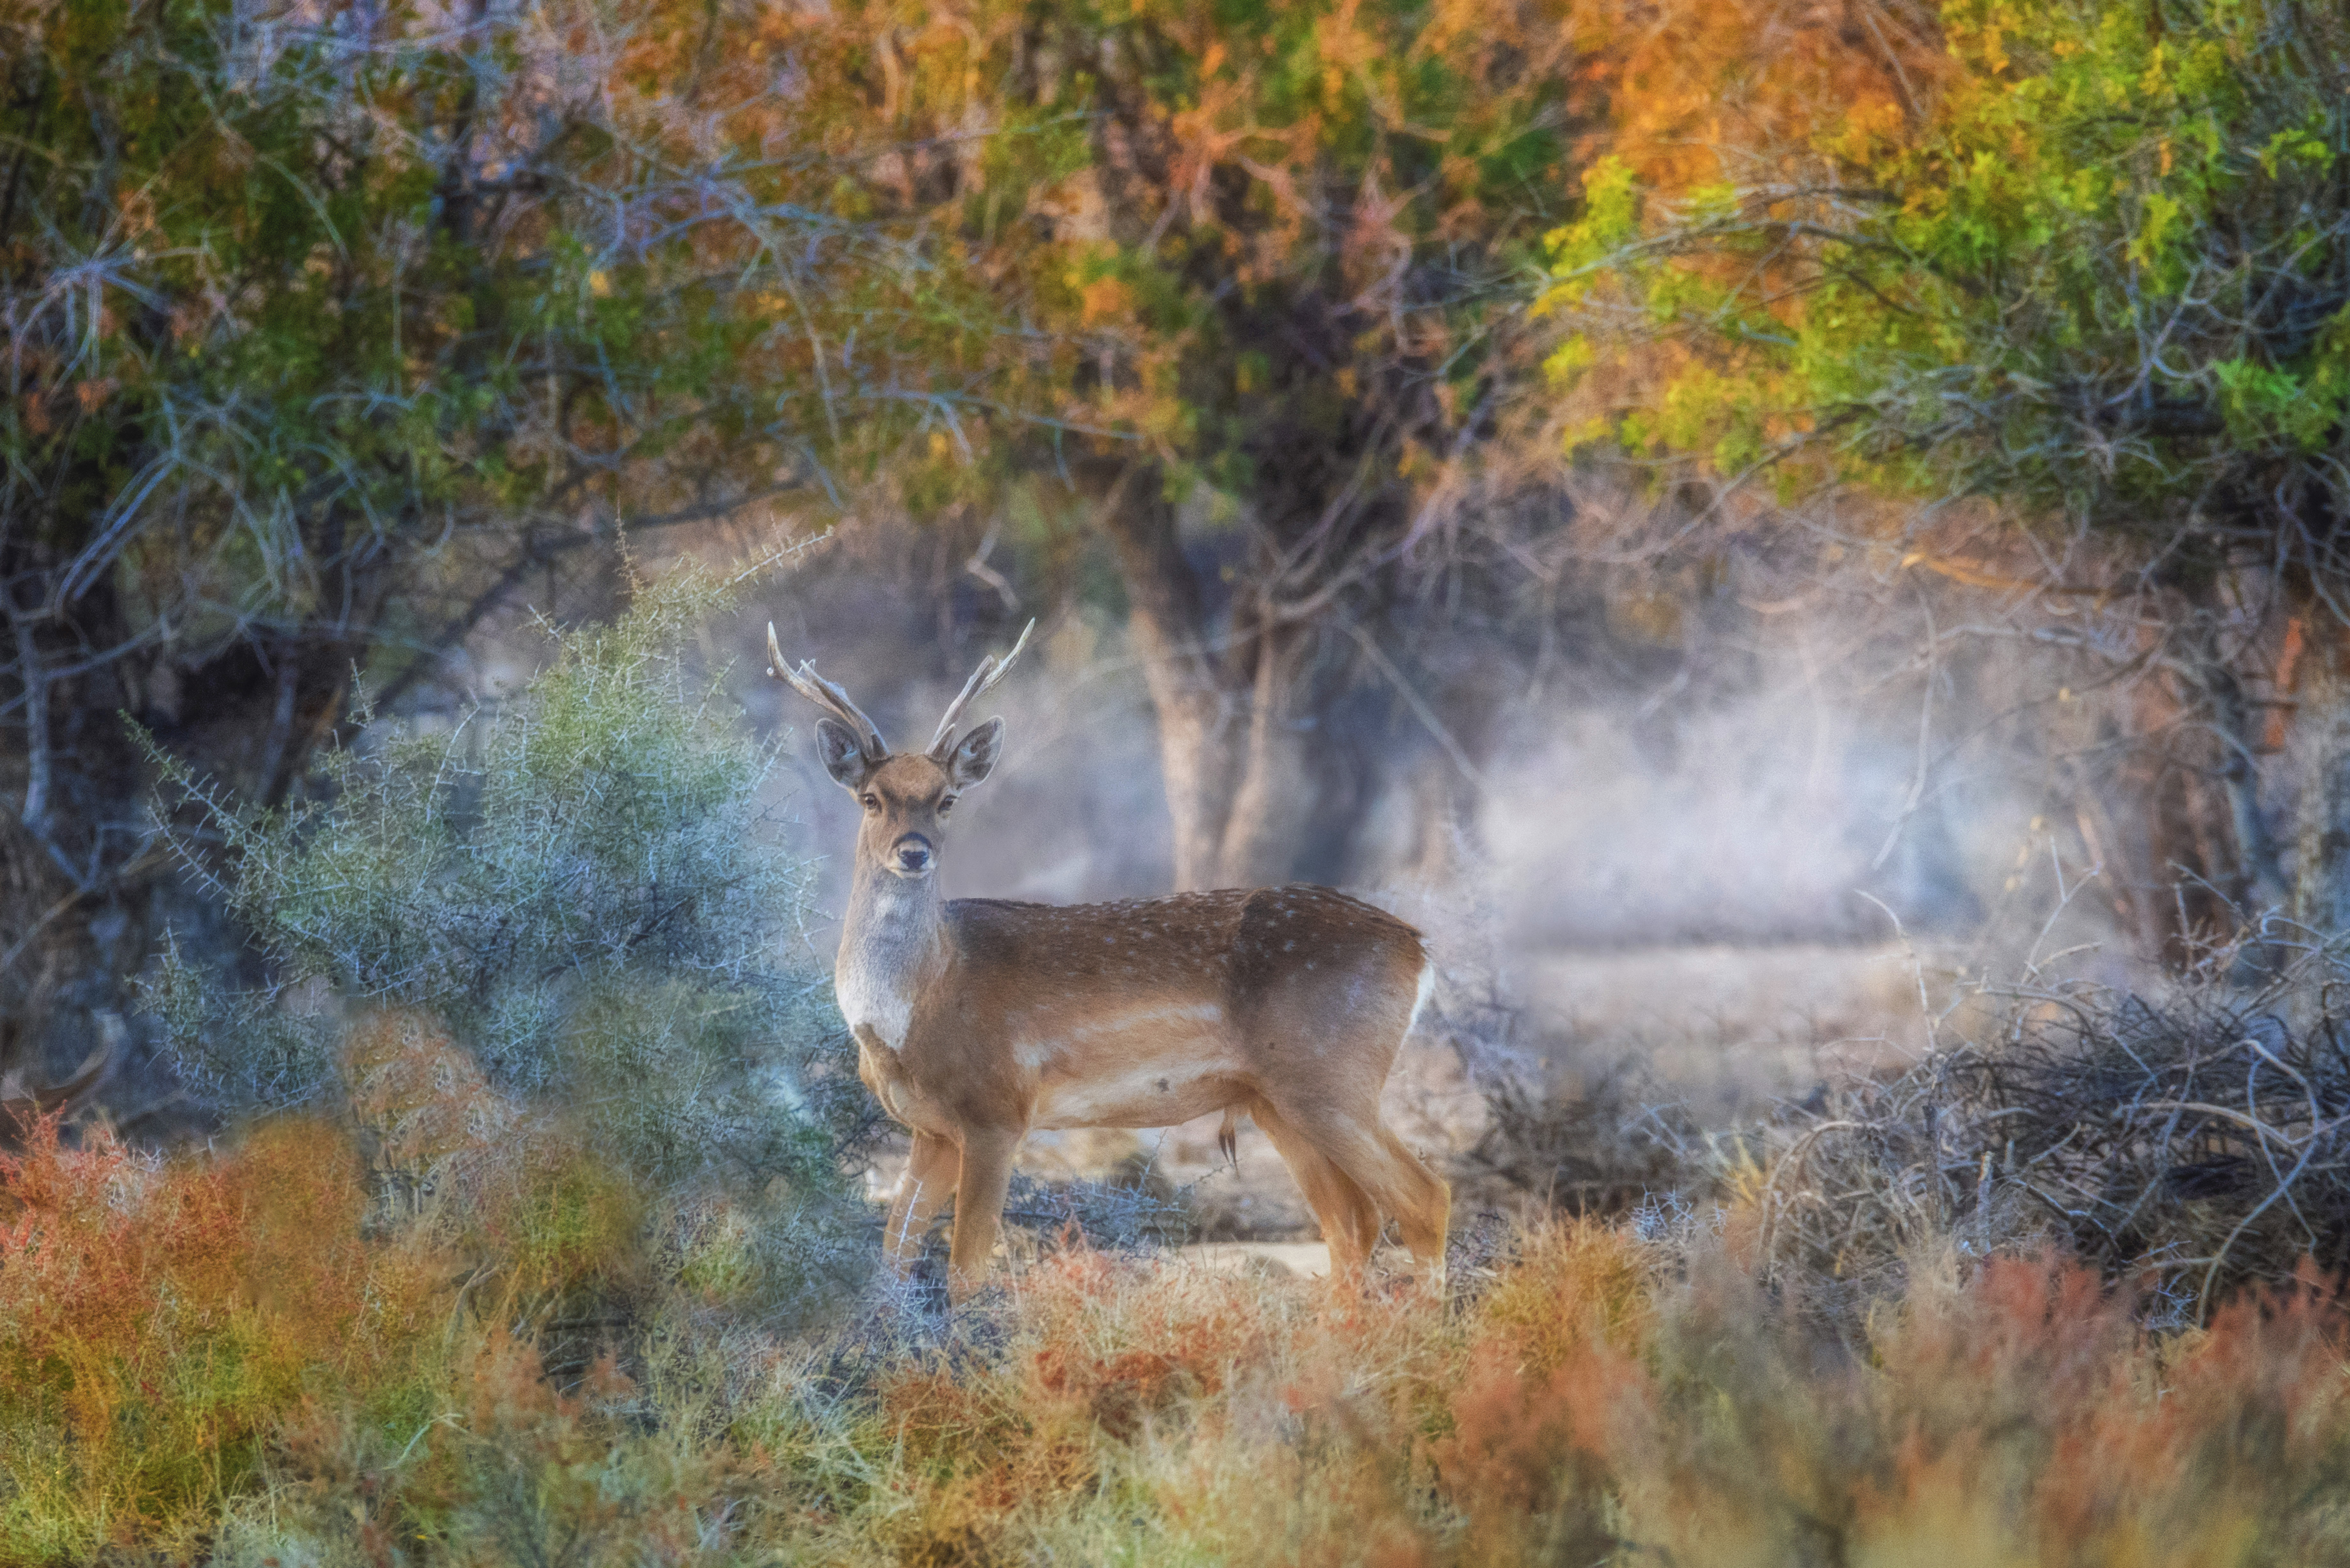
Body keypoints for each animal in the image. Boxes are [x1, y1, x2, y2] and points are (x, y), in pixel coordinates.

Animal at [767, 620, 1451, 1301]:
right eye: (871, 798)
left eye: (948, 799)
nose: (914, 852)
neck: (914, 1009)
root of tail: (1418, 949)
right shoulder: (931, 1129)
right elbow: (892, 1257)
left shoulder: (997, 1110)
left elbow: (966, 1271)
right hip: (1275, 1099)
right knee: (1352, 1220)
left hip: (1333, 1077)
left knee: (1424, 1198)